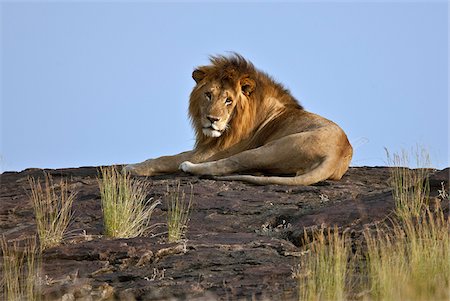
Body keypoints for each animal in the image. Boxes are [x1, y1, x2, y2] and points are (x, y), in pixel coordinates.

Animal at [125, 54, 354, 185]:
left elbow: (167, 158)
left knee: (225, 165)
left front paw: (132, 167)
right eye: (208, 95)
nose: (212, 119)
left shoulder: (213, 151)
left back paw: (188, 167)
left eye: (229, 100)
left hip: (269, 149)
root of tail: (337, 153)